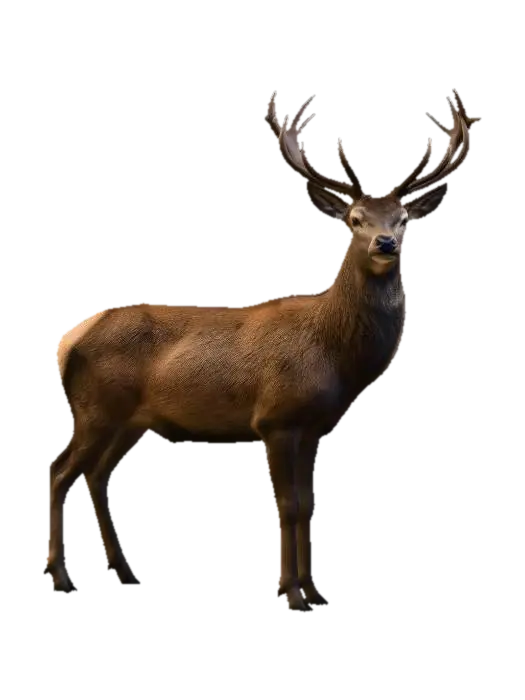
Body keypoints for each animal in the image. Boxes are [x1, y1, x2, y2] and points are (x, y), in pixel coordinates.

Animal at [45, 88, 479, 614]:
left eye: (403, 219)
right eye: (355, 219)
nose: (386, 242)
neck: (336, 359)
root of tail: (72, 340)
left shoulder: (316, 426)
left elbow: (309, 507)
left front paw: (312, 590)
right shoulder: (274, 417)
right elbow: (287, 505)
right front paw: (289, 594)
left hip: (128, 422)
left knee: (94, 477)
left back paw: (121, 571)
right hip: (94, 409)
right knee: (59, 472)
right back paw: (58, 575)